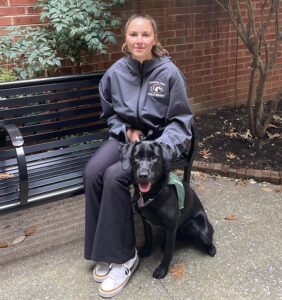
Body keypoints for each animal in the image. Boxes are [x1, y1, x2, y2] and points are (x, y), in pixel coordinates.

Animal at [119, 141, 216, 278]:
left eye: (154, 157)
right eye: (136, 157)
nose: (143, 175)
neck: (153, 194)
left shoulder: (171, 228)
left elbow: (168, 252)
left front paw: (162, 270)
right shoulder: (145, 220)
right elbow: (148, 236)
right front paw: (147, 250)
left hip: (202, 230)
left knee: (208, 238)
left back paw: (211, 249)